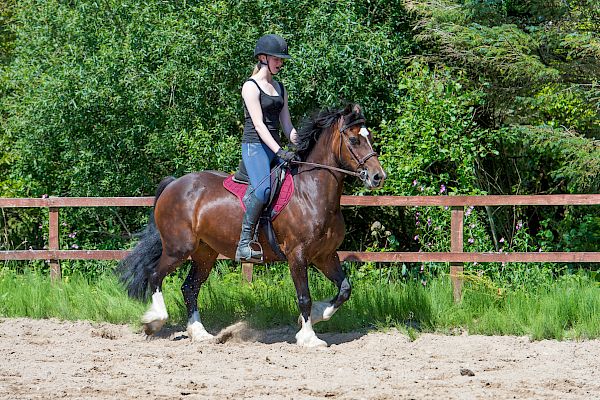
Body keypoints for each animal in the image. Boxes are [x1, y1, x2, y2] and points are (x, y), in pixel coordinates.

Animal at [118, 103, 384, 346]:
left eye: (369, 137)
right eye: (354, 140)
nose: (378, 177)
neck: (311, 192)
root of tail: (174, 184)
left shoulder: (325, 255)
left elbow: (345, 289)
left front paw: (318, 315)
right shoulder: (297, 255)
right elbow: (304, 296)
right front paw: (308, 337)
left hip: (205, 253)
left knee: (189, 288)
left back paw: (200, 334)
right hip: (178, 249)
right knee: (155, 275)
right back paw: (154, 321)